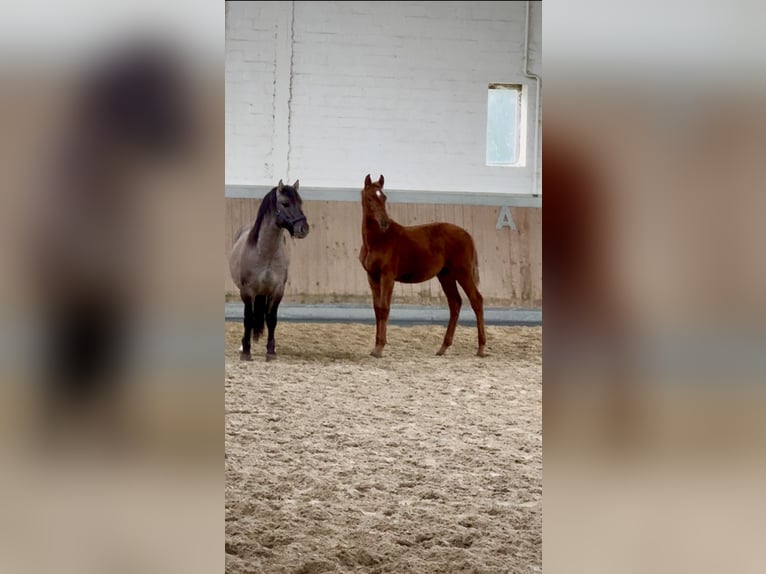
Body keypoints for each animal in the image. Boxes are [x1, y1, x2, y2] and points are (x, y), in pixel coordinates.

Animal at [229, 180, 309, 361]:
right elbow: (248, 319)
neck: (266, 253)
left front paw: (271, 352)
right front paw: (246, 351)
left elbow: (272, 320)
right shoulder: (247, 291)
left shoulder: (277, 291)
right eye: (285, 203)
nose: (304, 228)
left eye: (300, 202)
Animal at [358, 174, 487, 358]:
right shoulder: (373, 277)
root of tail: (468, 235)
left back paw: (481, 348)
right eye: (369, 198)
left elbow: (384, 308)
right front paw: (376, 346)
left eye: (384, 197)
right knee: (455, 303)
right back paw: (443, 347)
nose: (384, 223)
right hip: (446, 275)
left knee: (476, 300)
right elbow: (377, 309)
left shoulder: (387, 276)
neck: (378, 240)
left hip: (463, 273)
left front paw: (380, 348)